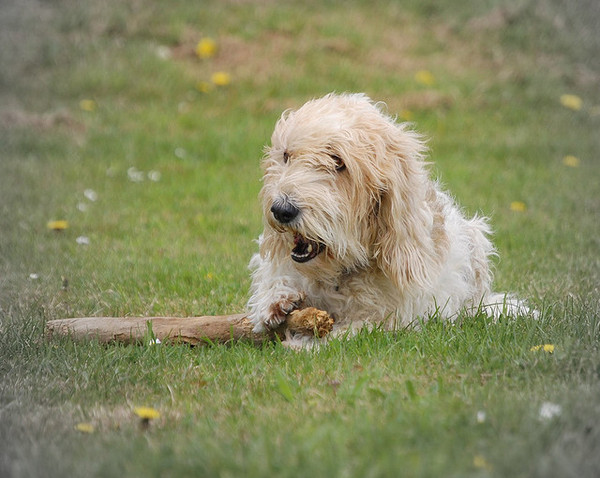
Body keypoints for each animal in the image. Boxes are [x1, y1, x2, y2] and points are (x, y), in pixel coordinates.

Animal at [246, 91, 528, 342]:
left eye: (338, 162)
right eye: (286, 155)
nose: (282, 210)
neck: (339, 275)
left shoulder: (399, 315)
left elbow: (356, 330)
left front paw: (305, 343)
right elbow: (273, 273)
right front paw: (275, 299)